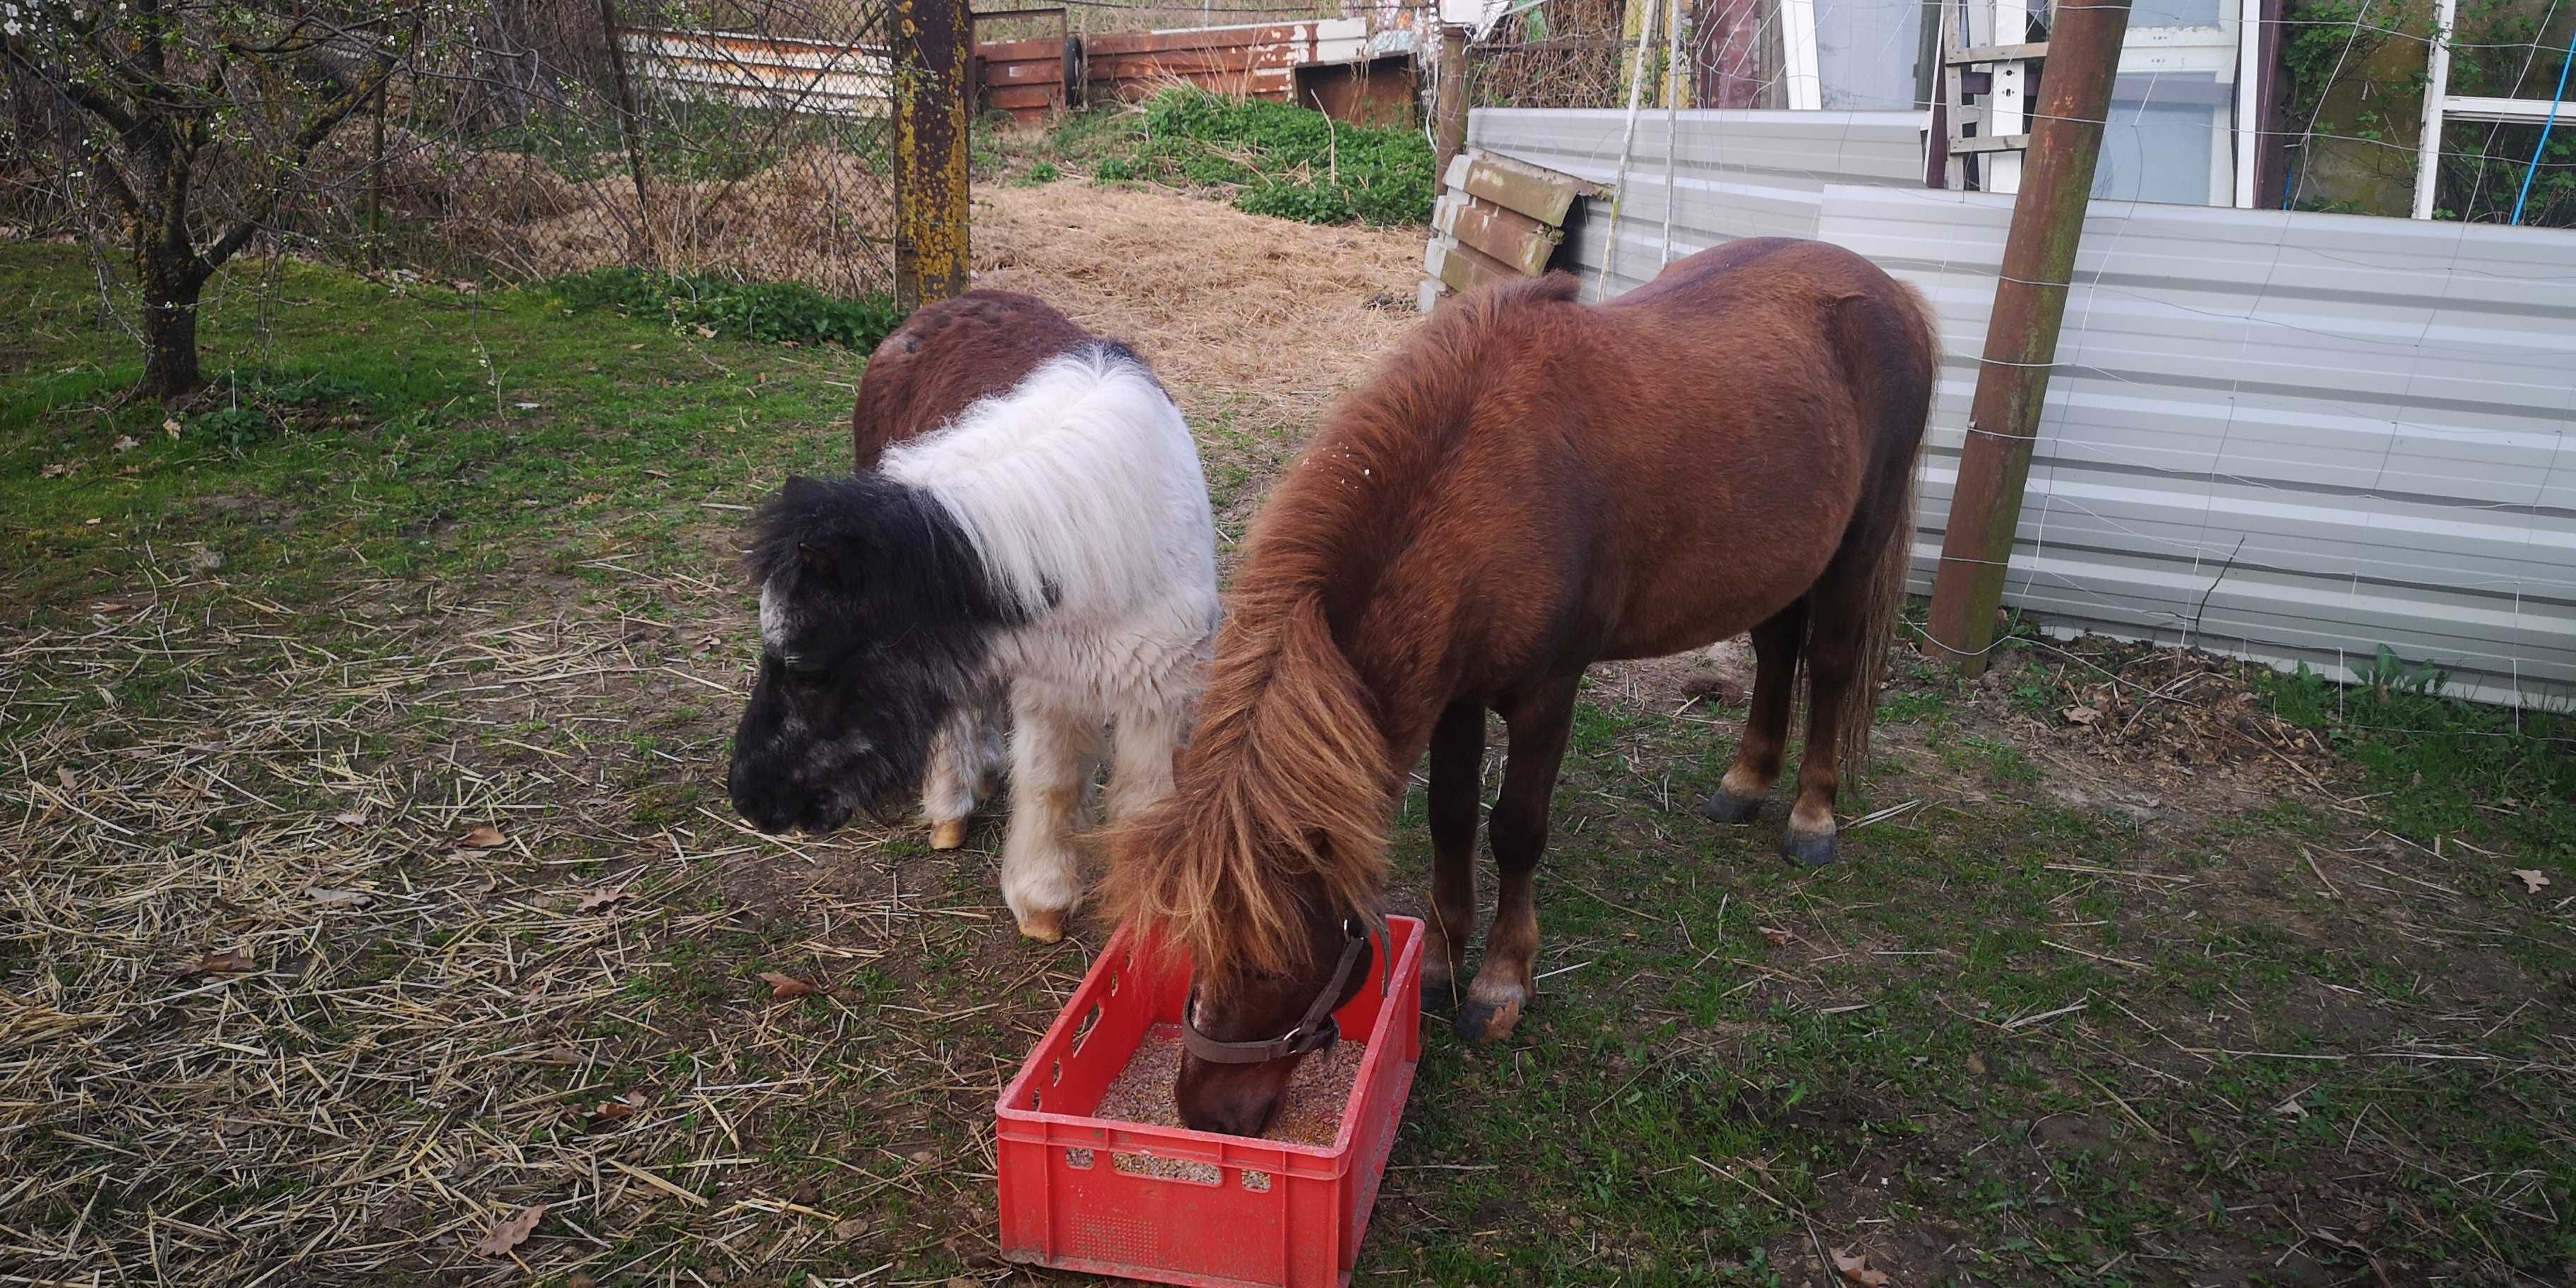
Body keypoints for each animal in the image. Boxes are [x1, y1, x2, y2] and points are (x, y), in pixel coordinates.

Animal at [721, 290, 1210, 937]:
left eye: (809, 670)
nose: (750, 800)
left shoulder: (1159, 694)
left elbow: (1144, 807)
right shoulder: (1052, 689)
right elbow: (1052, 785)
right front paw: (1043, 903)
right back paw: (951, 806)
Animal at [1107, 237, 1937, 1133]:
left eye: (1274, 960)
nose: (1208, 1114)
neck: (1485, 485)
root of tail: (1890, 290)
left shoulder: (1548, 695)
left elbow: (1515, 830)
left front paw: (1501, 983)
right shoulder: (1453, 694)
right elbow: (1449, 821)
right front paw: (1440, 966)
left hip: (1855, 551)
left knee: (1833, 664)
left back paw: (1813, 816)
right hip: (1779, 562)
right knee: (1778, 649)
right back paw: (1745, 782)